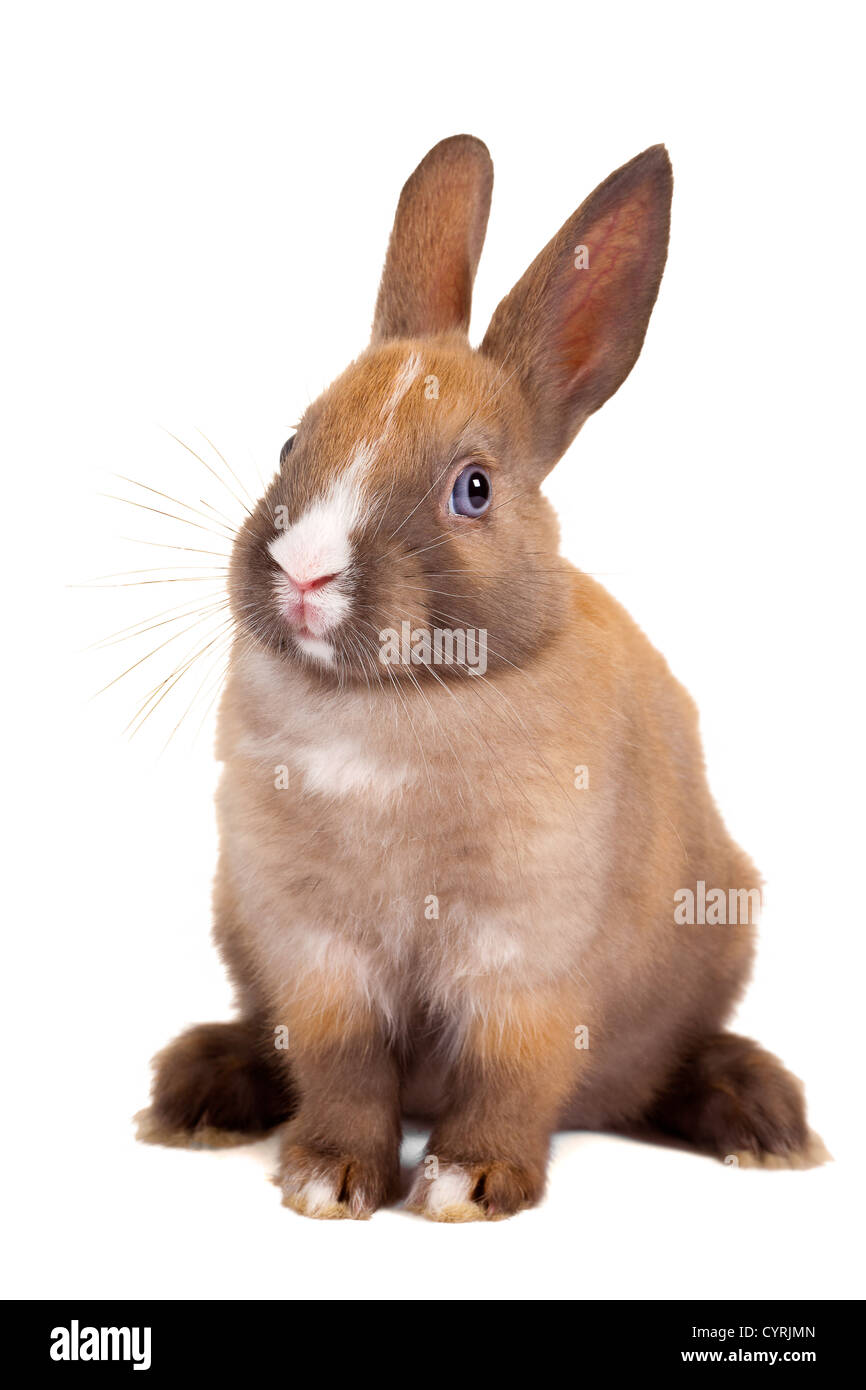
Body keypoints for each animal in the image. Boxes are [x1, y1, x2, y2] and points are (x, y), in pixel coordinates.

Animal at [135, 130, 828, 1217]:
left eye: (473, 490)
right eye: (292, 440)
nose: (305, 570)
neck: (394, 706)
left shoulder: (526, 958)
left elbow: (511, 1071)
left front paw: (467, 1182)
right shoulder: (314, 951)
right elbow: (340, 1065)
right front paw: (327, 1178)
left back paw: (759, 1119)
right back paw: (201, 1090)